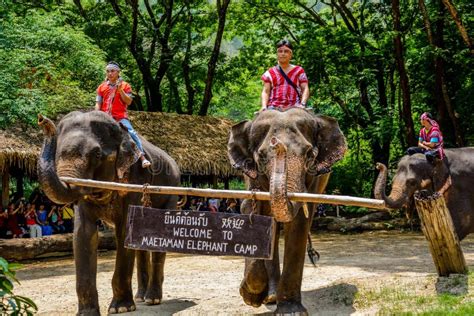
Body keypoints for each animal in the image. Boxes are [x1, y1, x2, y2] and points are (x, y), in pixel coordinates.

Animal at [38, 110, 180, 314]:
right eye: (57, 153)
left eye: (97, 154)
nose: (42, 120)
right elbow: (83, 234)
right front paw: (87, 313)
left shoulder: (135, 180)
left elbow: (124, 232)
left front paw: (120, 308)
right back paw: (141, 297)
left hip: (171, 192)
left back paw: (152, 299)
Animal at [228, 108, 346, 314]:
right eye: (261, 156)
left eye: (310, 154)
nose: (277, 143)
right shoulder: (251, 176)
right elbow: (255, 211)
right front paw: (251, 296)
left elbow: (299, 222)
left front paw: (292, 311)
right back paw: (271, 297)